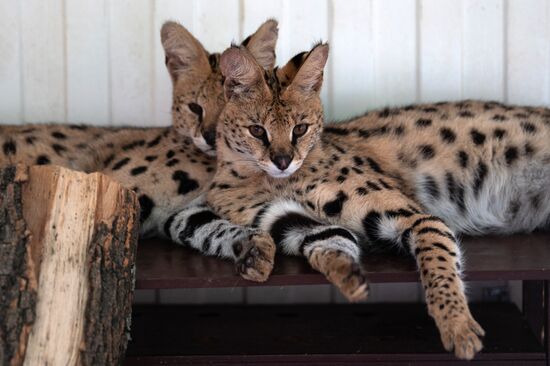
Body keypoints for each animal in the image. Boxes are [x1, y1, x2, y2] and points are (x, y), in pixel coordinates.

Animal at [207, 43, 550, 358]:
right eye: (257, 131)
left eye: (300, 129)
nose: (282, 161)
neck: (272, 181)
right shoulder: (290, 222)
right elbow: (329, 245)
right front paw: (350, 280)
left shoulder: (419, 218)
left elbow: (438, 266)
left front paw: (457, 324)